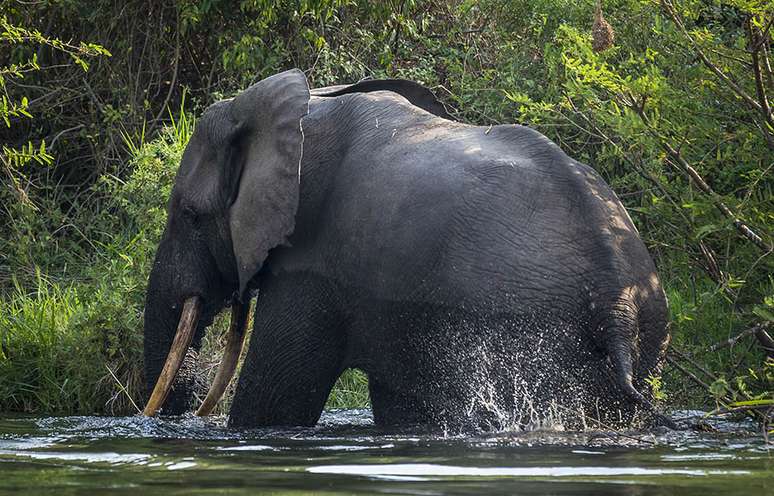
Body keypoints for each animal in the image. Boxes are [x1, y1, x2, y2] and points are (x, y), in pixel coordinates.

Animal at [144, 70, 672, 430]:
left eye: (189, 214)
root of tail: (617, 302)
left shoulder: (311, 266)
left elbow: (273, 403)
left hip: (524, 326)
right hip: (646, 332)